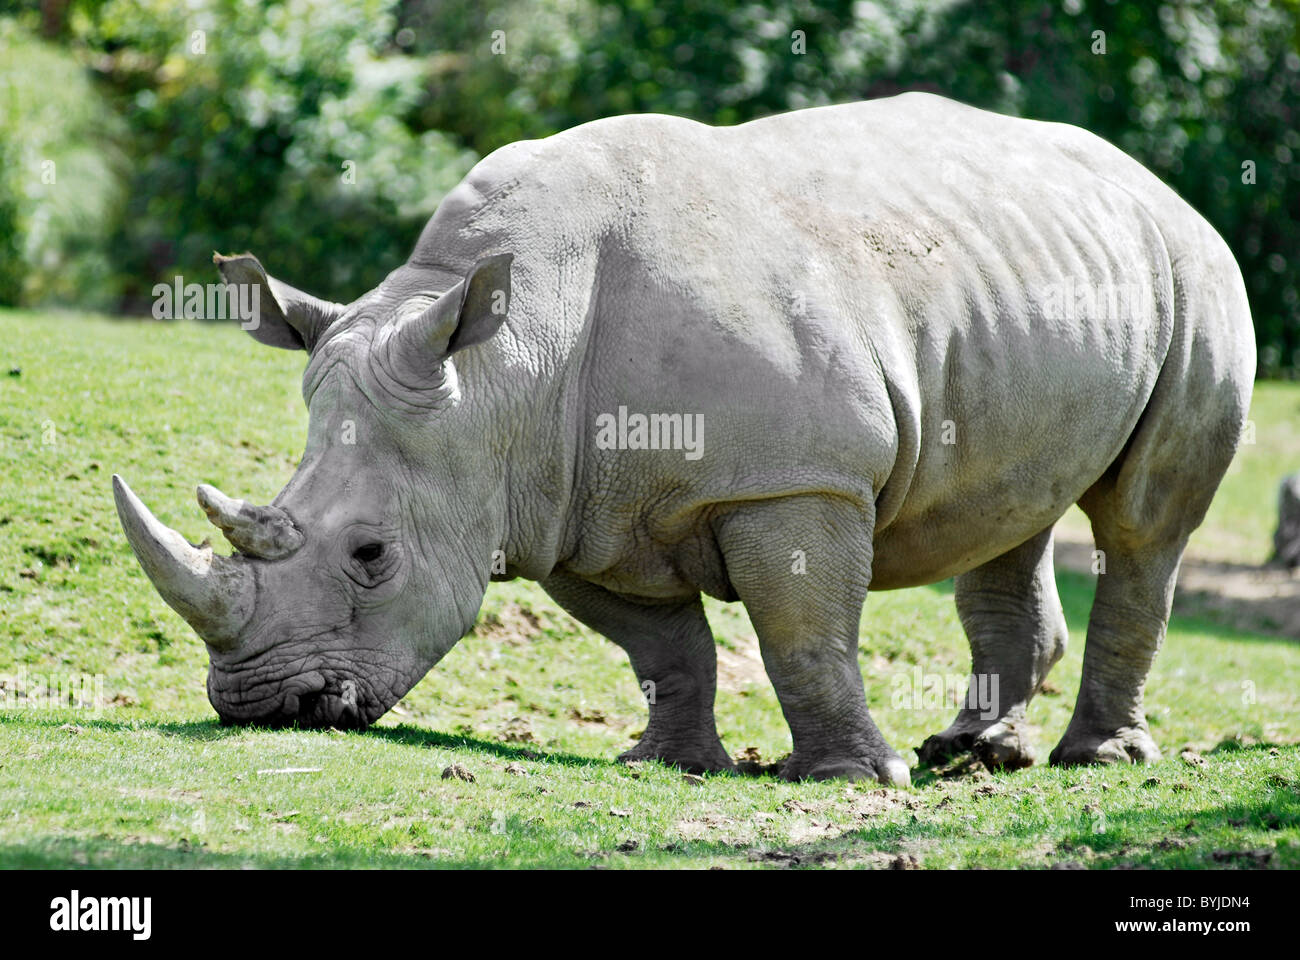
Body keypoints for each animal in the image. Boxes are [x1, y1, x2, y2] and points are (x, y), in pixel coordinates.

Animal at [114, 93, 1255, 784]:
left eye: (370, 556)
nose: (262, 707)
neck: (503, 371)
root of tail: (1151, 181)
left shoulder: (794, 477)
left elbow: (801, 632)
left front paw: (850, 779)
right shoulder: (560, 504)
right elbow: (662, 646)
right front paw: (666, 764)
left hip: (1197, 267)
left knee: (1142, 526)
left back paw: (1096, 761)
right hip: (1027, 289)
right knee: (1007, 512)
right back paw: (972, 756)